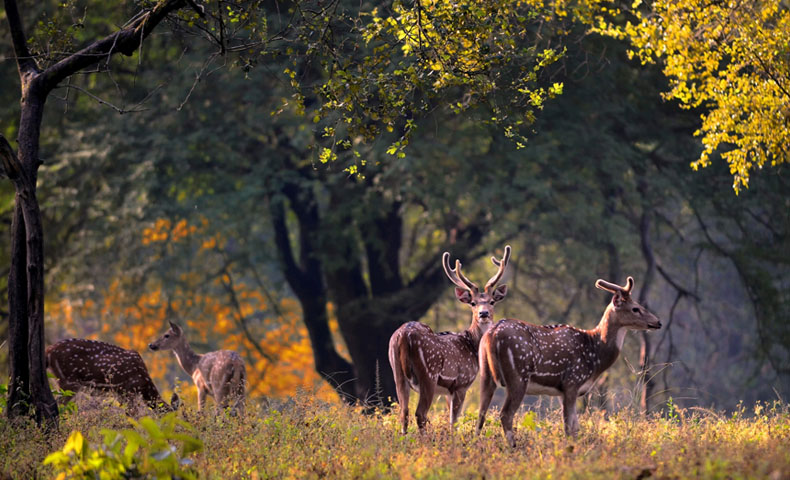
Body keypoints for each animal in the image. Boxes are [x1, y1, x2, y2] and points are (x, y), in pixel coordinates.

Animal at [45, 338, 180, 412]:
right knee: (57, 403)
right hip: (69, 380)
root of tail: (49, 350)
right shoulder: (128, 390)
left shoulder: (120, 394)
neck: (144, 385)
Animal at [390, 246, 512, 434]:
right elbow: (454, 421)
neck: (472, 346)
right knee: (420, 413)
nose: (483, 313)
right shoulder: (461, 383)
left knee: (404, 413)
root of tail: (403, 335)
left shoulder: (448, 391)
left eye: (492, 301)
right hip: (428, 374)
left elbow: (450, 419)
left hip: (397, 372)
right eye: (473, 303)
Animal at [476, 276, 664, 448]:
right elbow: (569, 428)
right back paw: (513, 448)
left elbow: (575, 427)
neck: (595, 354)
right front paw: (571, 450)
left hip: (485, 373)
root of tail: (492, 335)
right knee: (505, 414)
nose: (658, 322)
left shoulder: (563, 391)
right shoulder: (572, 382)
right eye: (635, 308)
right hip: (518, 375)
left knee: (481, 412)